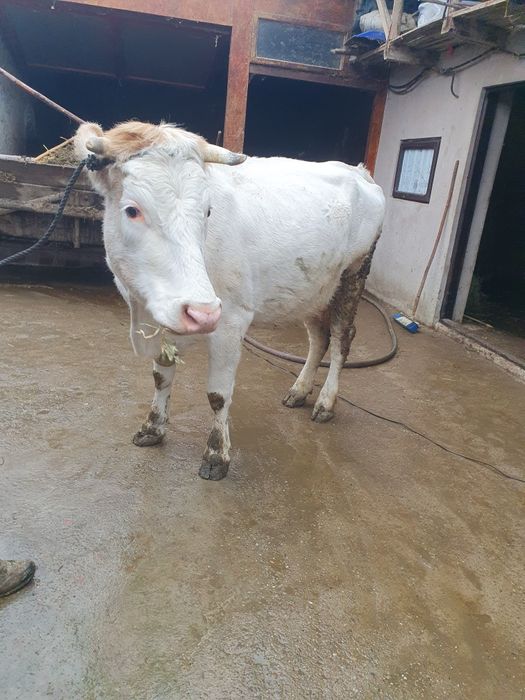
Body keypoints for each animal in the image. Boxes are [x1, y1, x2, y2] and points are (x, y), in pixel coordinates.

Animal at [74, 121, 385, 480]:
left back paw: (325, 402)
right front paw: (153, 427)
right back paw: (299, 390)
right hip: (315, 286)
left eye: (207, 211)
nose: (202, 312)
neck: (141, 309)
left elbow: (218, 396)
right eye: (131, 210)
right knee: (319, 337)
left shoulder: (230, 320)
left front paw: (216, 455)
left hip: (354, 274)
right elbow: (161, 377)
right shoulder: (165, 314)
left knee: (341, 338)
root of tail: (358, 171)